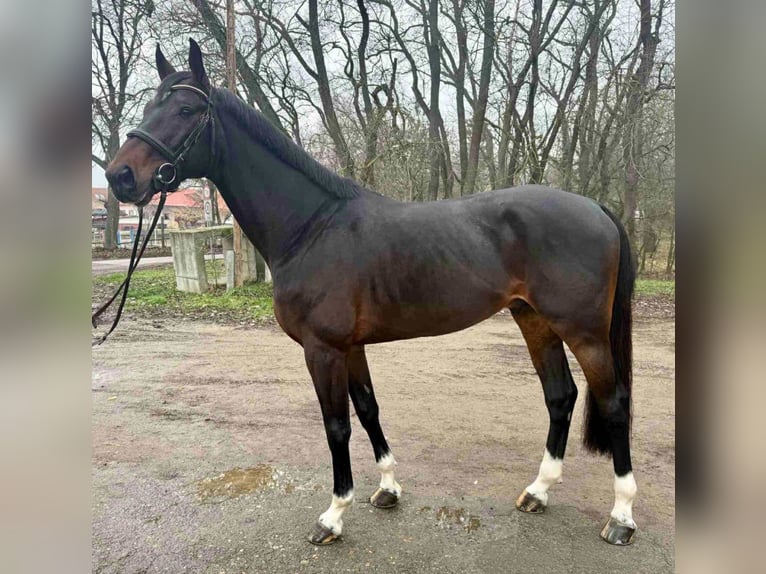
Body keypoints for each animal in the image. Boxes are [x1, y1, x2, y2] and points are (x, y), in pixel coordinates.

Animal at [104, 39, 638, 547]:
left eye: (185, 110)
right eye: (150, 105)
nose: (119, 176)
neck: (312, 227)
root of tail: (596, 207)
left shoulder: (322, 349)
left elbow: (336, 425)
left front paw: (333, 516)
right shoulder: (351, 346)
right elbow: (367, 410)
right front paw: (387, 489)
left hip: (584, 332)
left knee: (613, 402)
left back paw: (621, 518)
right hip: (534, 319)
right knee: (561, 396)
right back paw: (538, 492)